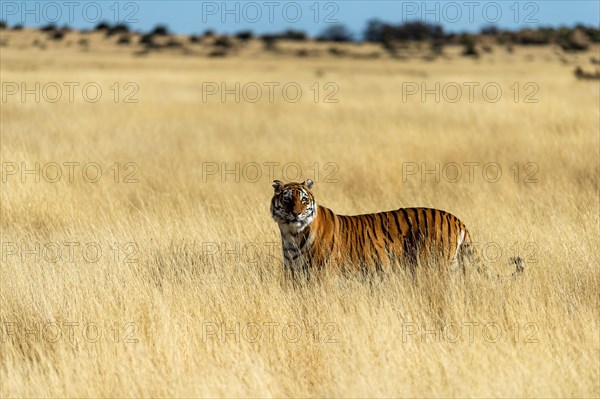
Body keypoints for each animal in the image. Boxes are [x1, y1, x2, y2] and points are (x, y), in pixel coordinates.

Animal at [270, 180, 524, 280]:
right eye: (287, 199)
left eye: (303, 199)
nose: (297, 214)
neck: (292, 236)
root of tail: (456, 218)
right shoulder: (293, 274)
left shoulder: (324, 276)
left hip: (436, 266)